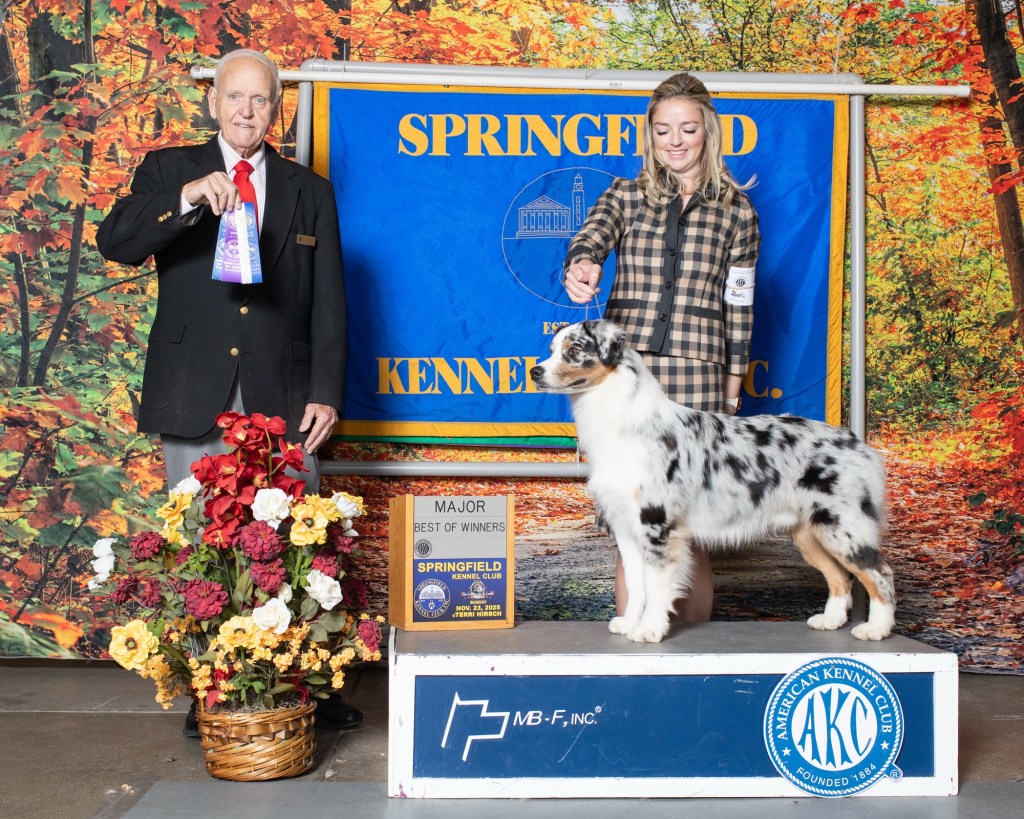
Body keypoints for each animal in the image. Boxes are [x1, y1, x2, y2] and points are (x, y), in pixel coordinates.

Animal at [530, 319, 895, 643]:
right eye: (551, 350)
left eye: (574, 350)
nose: (535, 372)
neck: (618, 417)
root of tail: (858, 443)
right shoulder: (625, 527)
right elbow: (636, 584)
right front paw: (630, 623)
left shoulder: (658, 524)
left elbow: (656, 585)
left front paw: (649, 630)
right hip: (809, 533)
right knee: (840, 577)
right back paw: (830, 621)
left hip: (844, 526)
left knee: (879, 573)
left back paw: (876, 629)